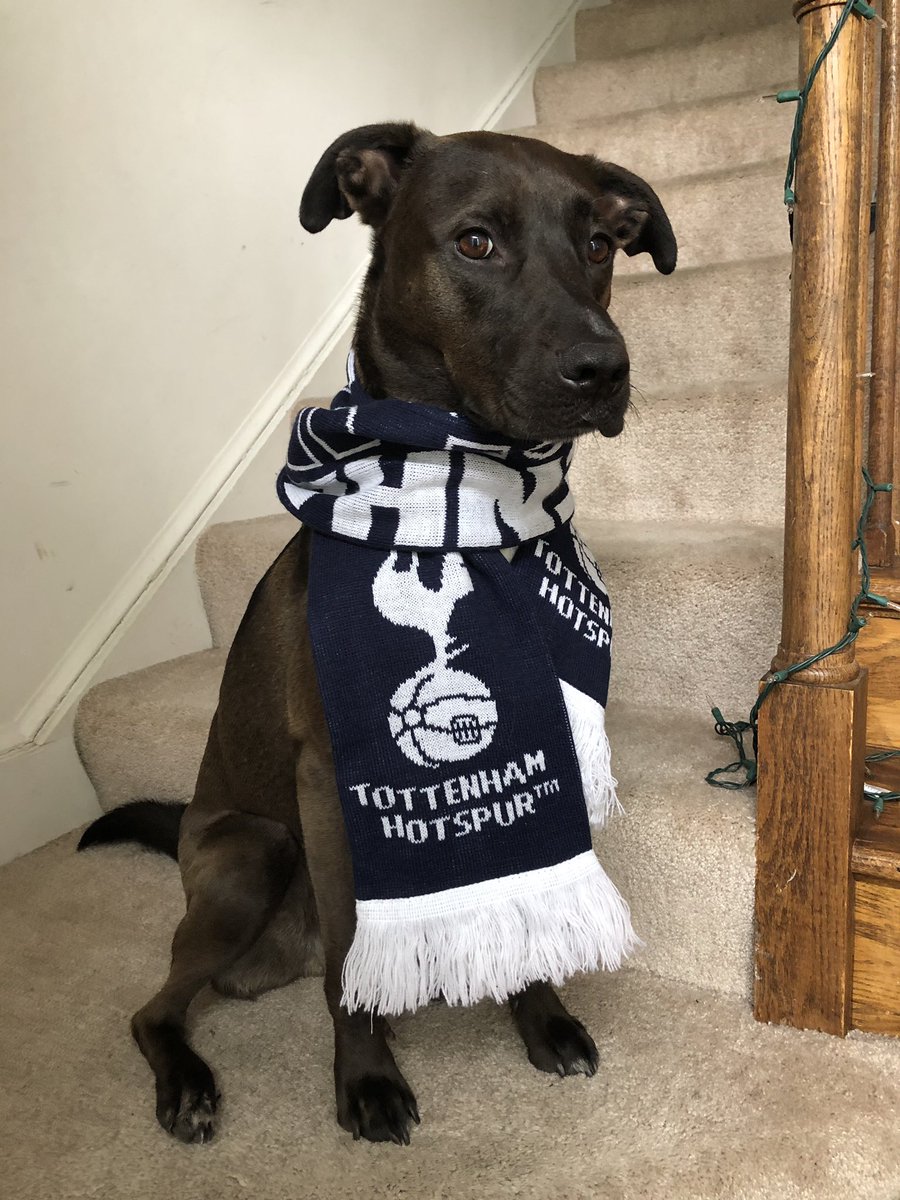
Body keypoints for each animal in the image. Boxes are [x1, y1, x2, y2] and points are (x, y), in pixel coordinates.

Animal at [79, 119, 676, 1142]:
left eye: (600, 244)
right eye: (476, 240)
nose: (606, 370)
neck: (461, 496)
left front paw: (542, 1016)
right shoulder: (331, 779)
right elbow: (353, 957)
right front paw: (364, 1077)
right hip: (252, 854)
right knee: (156, 1006)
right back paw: (187, 1079)